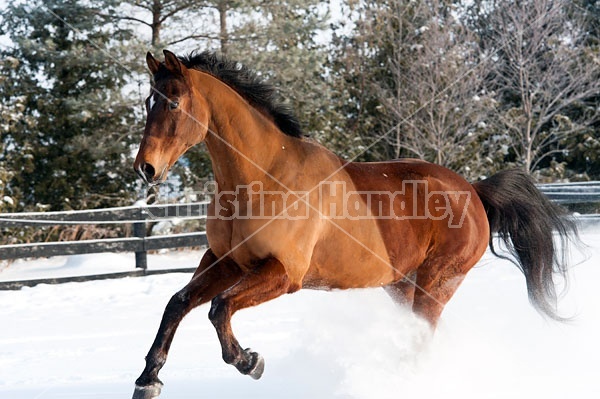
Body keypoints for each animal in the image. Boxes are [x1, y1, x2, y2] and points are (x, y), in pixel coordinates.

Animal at [132, 50, 576, 399]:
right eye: (147, 103)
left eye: (173, 104)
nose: (146, 168)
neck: (263, 177)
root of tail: (473, 190)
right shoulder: (227, 261)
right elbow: (179, 302)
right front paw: (147, 380)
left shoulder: (283, 273)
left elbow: (219, 308)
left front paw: (250, 361)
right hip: (402, 286)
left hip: (435, 285)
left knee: (422, 339)